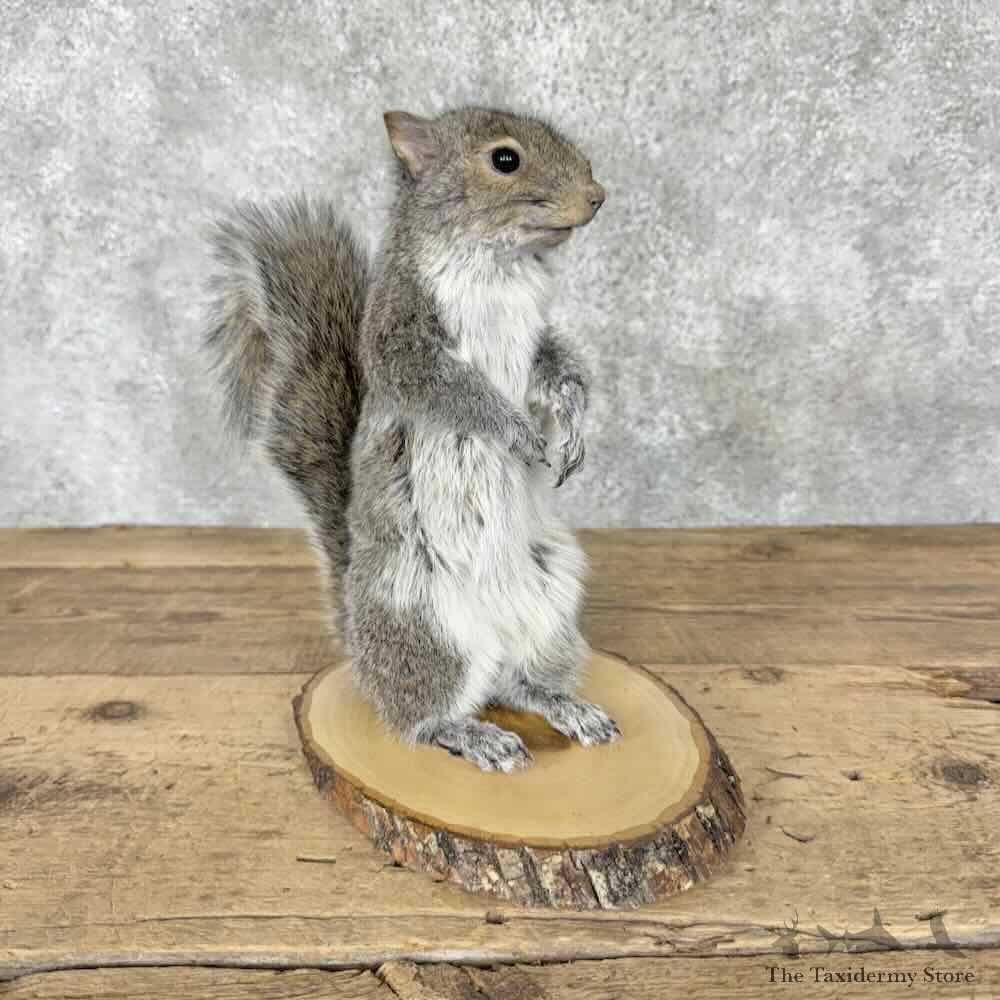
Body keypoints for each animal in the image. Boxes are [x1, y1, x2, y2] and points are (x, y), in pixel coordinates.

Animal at [206, 106, 618, 772]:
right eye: (505, 159)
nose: (597, 196)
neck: (499, 267)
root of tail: (358, 637)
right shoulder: (402, 338)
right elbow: (451, 390)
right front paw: (518, 434)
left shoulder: (538, 337)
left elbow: (559, 369)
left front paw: (572, 429)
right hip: (423, 621)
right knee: (420, 718)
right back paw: (473, 734)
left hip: (552, 607)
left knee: (518, 684)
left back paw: (566, 705)